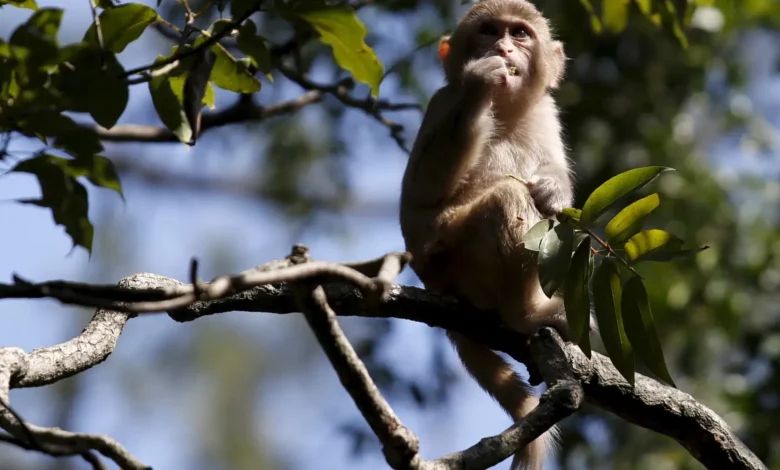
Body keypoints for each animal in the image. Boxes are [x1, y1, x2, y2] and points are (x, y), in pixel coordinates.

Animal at [402, 0, 572, 470]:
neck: (509, 111)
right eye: (489, 31)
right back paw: (525, 315)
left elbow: (557, 186)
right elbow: (419, 200)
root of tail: (435, 285)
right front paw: (481, 81)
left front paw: (554, 189)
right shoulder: (442, 103)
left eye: (520, 33)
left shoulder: (546, 112)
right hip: (454, 263)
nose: (503, 48)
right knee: (508, 200)